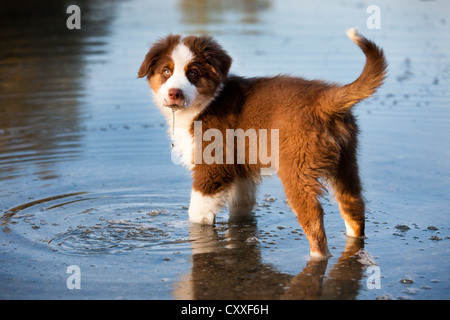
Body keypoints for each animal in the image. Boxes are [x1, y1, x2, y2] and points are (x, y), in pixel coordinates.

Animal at [137, 26, 386, 258]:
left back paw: (316, 256)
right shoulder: (241, 171)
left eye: (193, 73)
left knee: (313, 219)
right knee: (353, 206)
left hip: (296, 167)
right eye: (166, 71)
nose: (174, 93)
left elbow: (197, 213)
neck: (207, 102)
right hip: (346, 162)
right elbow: (241, 209)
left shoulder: (213, 166)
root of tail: (325, 99)